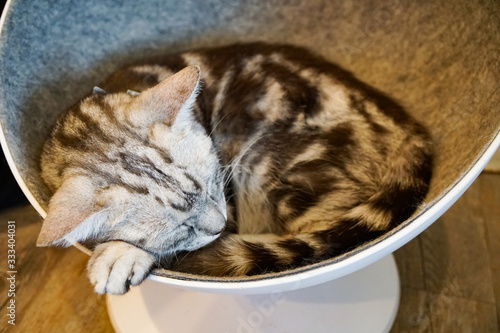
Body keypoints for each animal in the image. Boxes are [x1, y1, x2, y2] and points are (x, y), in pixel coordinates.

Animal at [37, 42, 432, 294]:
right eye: (180, 226)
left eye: (214, 182)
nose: (219, 226)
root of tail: (410, 130)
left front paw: (122, 252)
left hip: (270, 170)